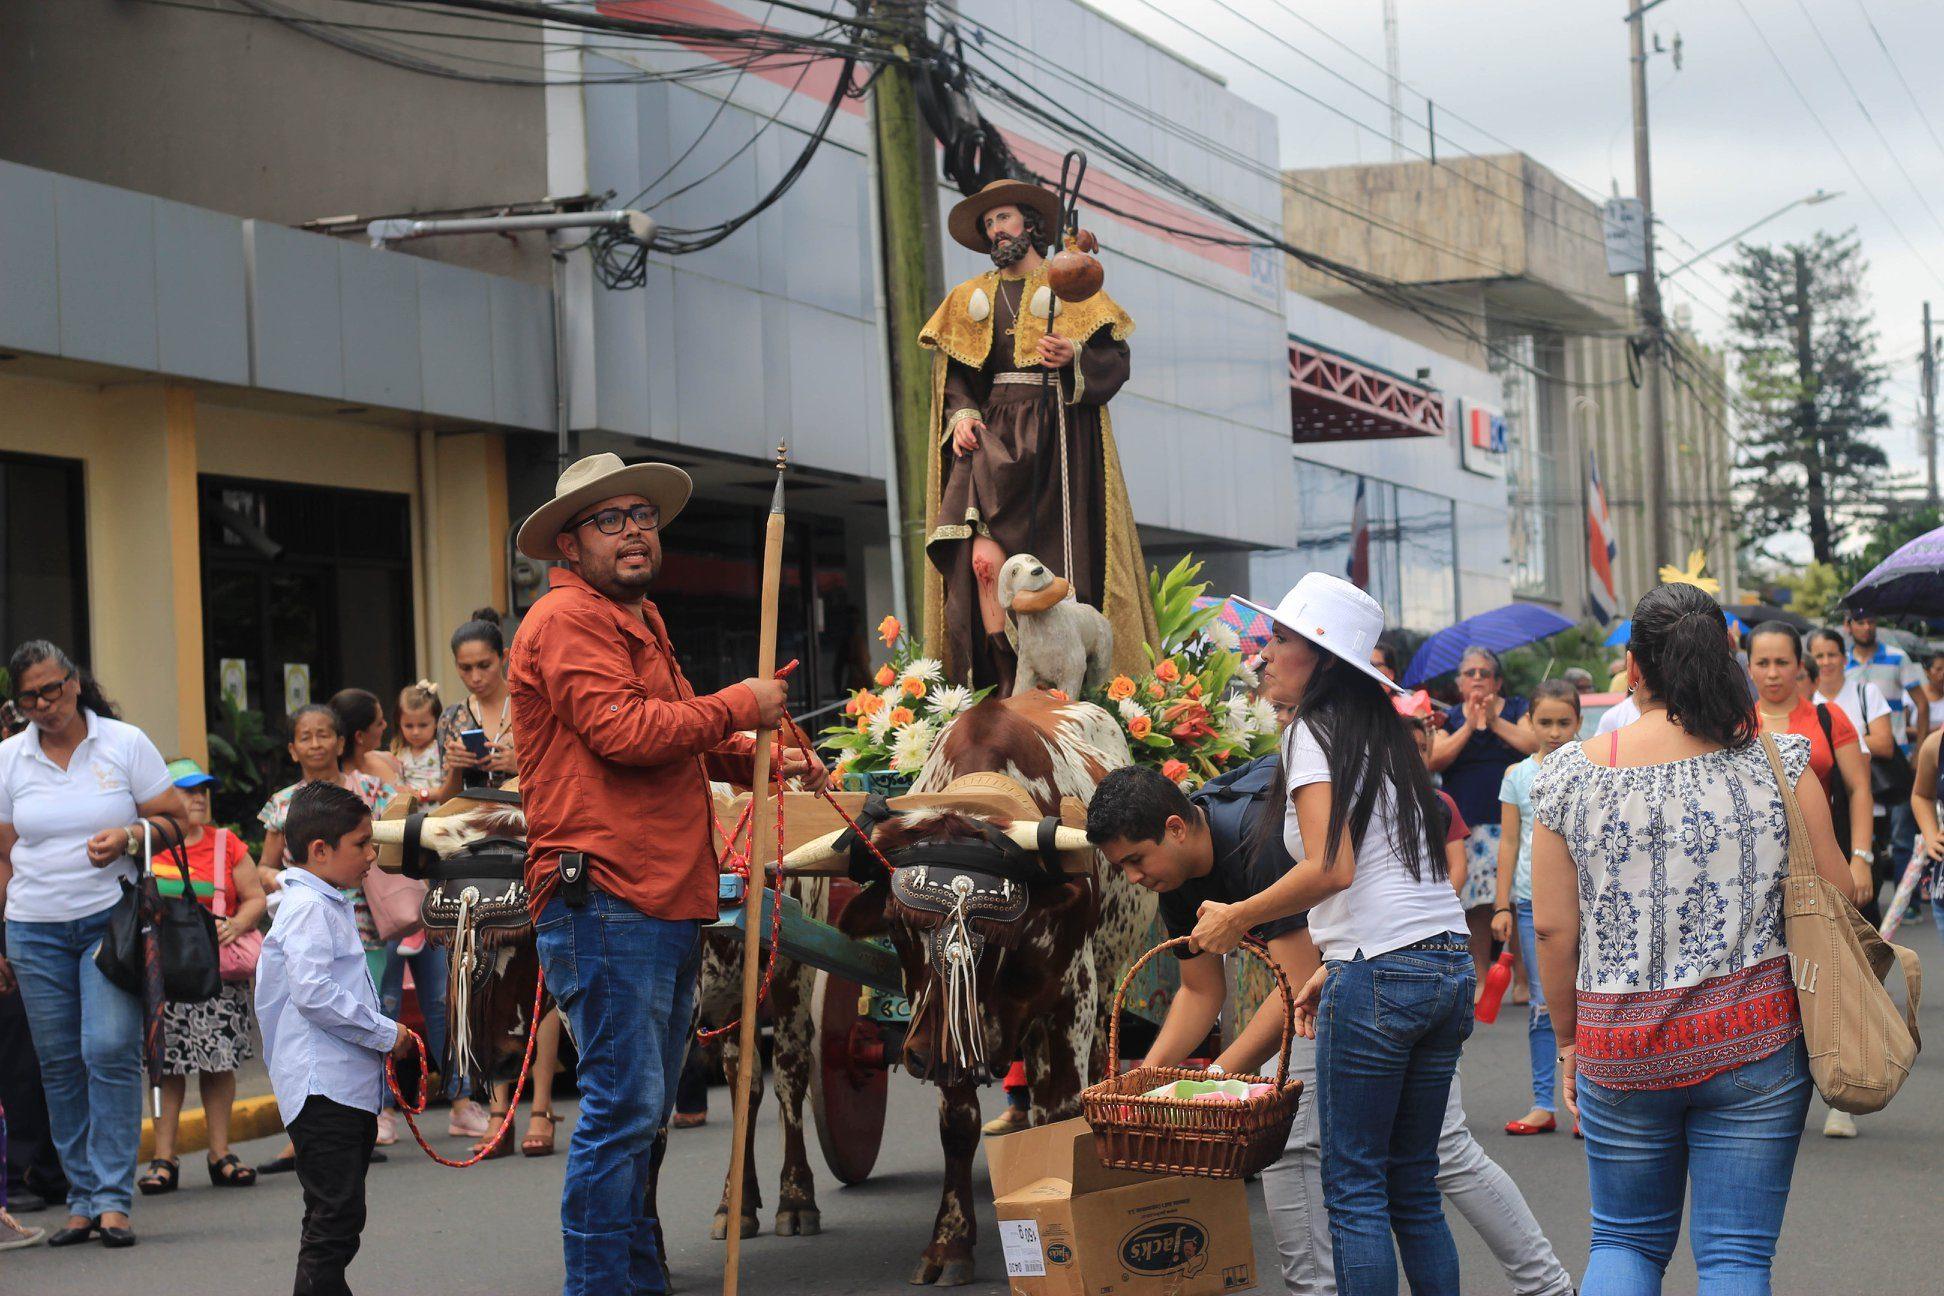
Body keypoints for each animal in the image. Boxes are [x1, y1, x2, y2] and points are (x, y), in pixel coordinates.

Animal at [783, 690, 1154, 1286]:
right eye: (896, 926)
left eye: (992, 929)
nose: (921, 1054)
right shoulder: (940, 1029)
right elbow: (957, 1125)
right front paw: (950, 1243)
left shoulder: (1071, 997)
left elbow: (1061, 1112)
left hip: (1106, 978)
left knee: (1096, 1071)